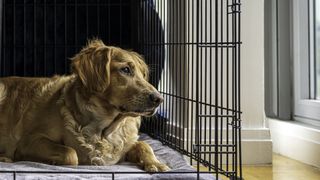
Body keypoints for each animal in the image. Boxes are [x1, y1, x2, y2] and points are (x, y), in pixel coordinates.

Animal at [0, 39, 170, 172]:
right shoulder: (30, 141)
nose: (159, 99)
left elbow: (144, 145)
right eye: (126, 69)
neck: (103, 131)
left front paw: (156, 163)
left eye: (143, 74)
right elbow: (70, 153)